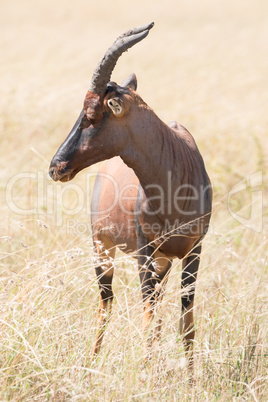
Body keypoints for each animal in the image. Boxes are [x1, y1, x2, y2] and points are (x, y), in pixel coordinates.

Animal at [49, 21, 213, 368]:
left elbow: (186, 324)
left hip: (164, 262)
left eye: (92, 113)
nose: (56, 167)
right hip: (103, 247)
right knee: (105, 304)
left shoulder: (194, 250)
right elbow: (148, 322)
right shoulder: (144, 251)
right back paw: (91, 366)